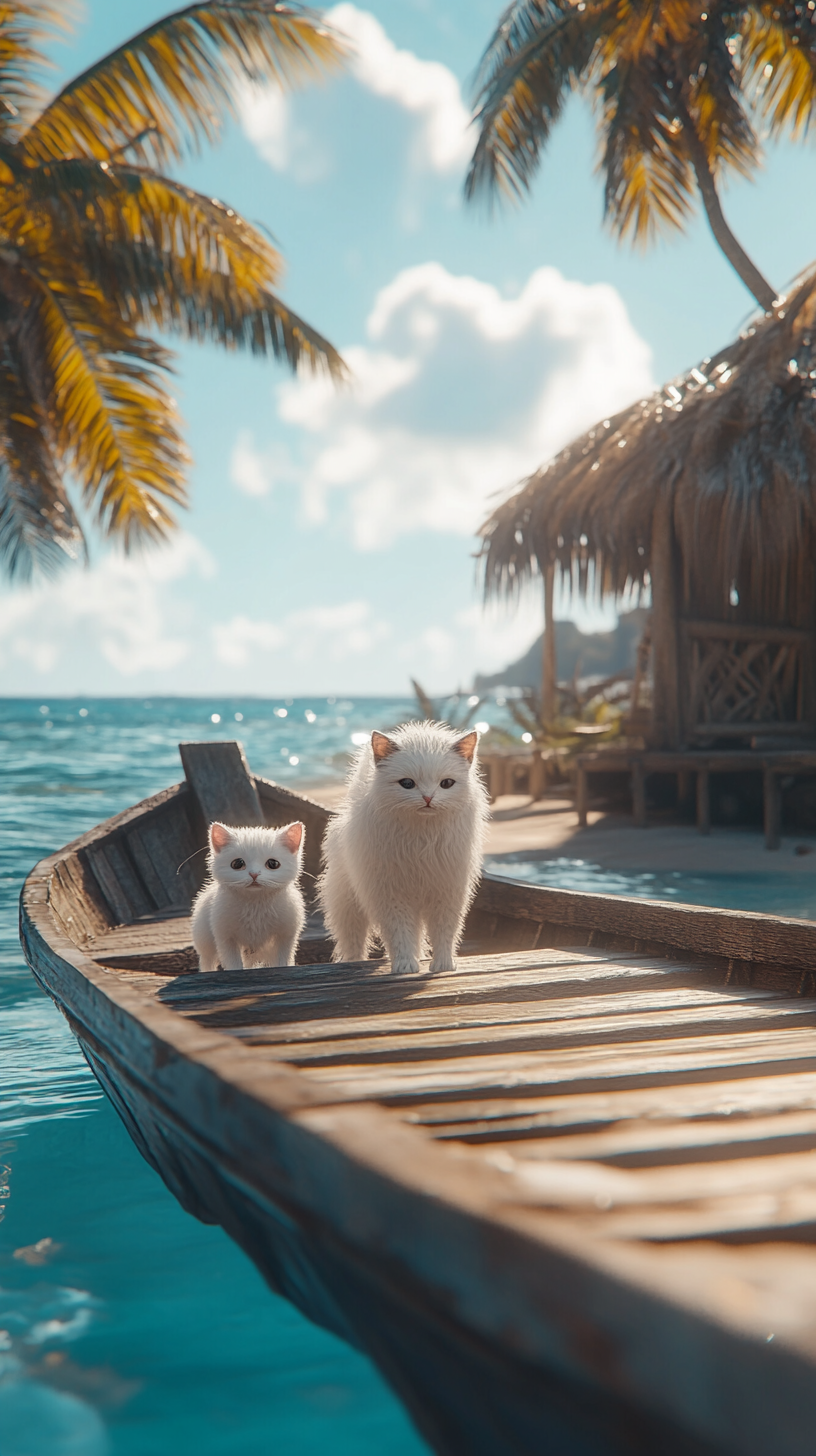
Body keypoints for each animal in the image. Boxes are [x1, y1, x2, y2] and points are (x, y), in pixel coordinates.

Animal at [190, 827, 306, 972]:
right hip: (204, 939)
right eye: (237, 863)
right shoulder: (225, 936)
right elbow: (233, 962)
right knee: (207, 960)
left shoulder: (286, 934)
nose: (254, 874)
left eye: (273, 864)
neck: (255, 904)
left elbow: (282, 959)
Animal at [317, 719, 483, 972]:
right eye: (407, 784)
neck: (421, 841)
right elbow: (399, 933)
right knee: (353, 942)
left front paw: (443, 964)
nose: (428, 798)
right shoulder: (390, 893)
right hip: (347, 904)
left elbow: (445, 930)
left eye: (446, 783)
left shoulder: (448, 889)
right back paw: (355, 964)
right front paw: (405, 965)